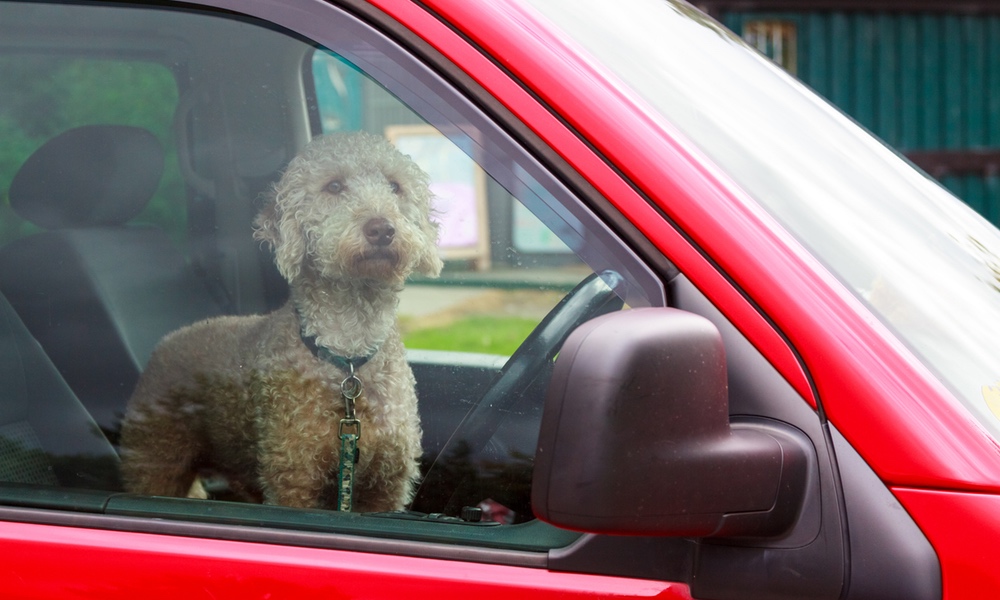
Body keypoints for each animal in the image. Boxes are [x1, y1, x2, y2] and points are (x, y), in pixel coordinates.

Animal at [119, 131, 443, 512]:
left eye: (395, 186)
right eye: (334, 186)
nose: (382, 228)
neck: (347, 352)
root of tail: (165, 341)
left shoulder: (386, 487)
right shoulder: (293, 478)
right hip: (155, 459)